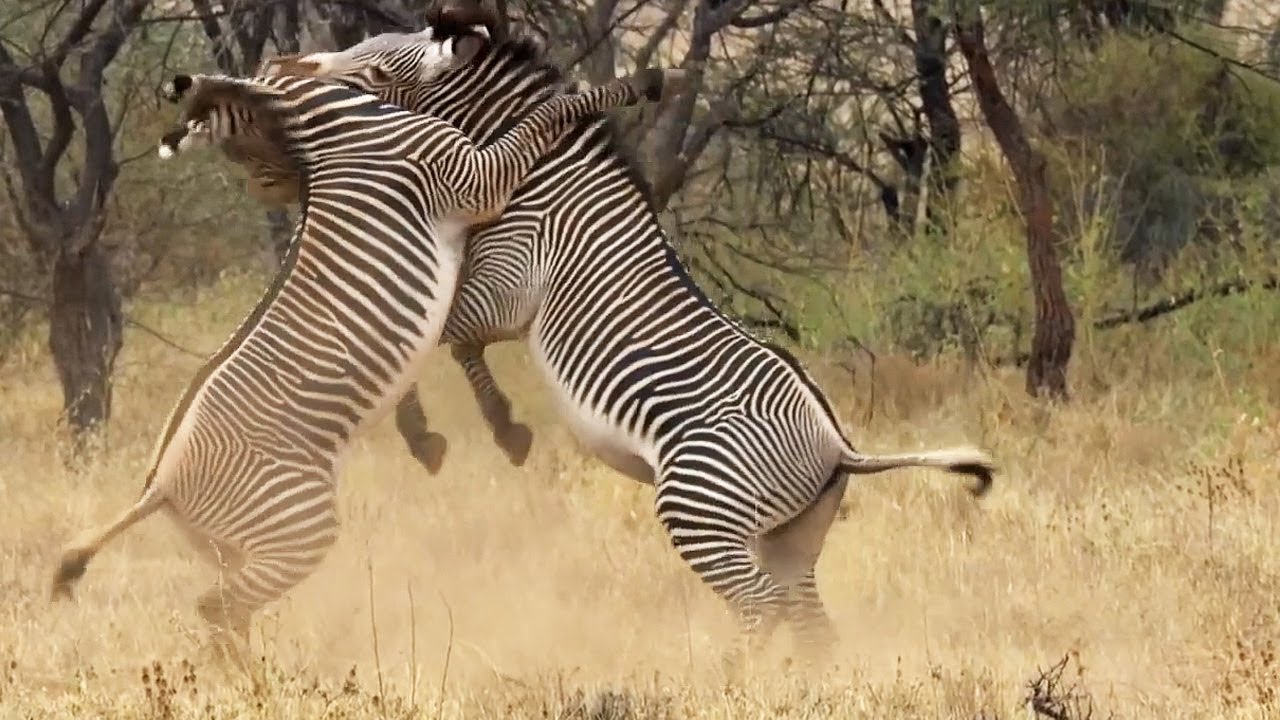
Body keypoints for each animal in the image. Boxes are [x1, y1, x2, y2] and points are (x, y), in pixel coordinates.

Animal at [49, 54, 680, 671]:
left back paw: (256, 679)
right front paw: (638, 84)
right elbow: (544, 116)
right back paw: (263, 684)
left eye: (255, 162)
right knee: (215, 607)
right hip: (299, 526)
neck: (332, 123)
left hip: (237, 547)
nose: (279, 194)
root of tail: (159, 485)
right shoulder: (474, 177)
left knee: (228, 612)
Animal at [199, 9, 996, 669]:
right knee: (808, 621)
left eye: (372, 75)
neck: (529, 169)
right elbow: (451, 348)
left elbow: (444, 343)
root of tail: (839, 445)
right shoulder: (495, 289)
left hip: (702, 503)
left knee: (761, 608)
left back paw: (719, 682)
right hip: (790, 536)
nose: (286, 72)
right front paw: (492, 429)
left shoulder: (507, 283)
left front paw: (456, 432)